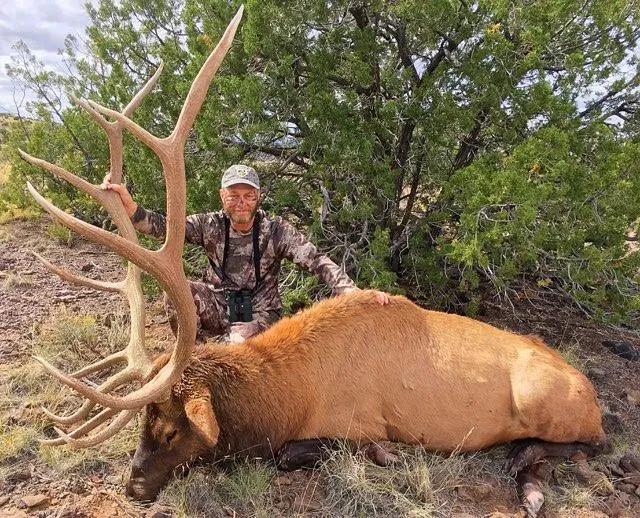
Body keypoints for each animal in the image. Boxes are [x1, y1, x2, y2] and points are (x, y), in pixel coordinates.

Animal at [20, 7, 607, 517]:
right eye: (142, 423)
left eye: (167, 428)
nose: (133, 486)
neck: (291, 395)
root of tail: (592, 391)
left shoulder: (357, 423)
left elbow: (301, 452)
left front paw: (384, 455)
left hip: (547, 401)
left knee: (590, 444)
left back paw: (528, 474)